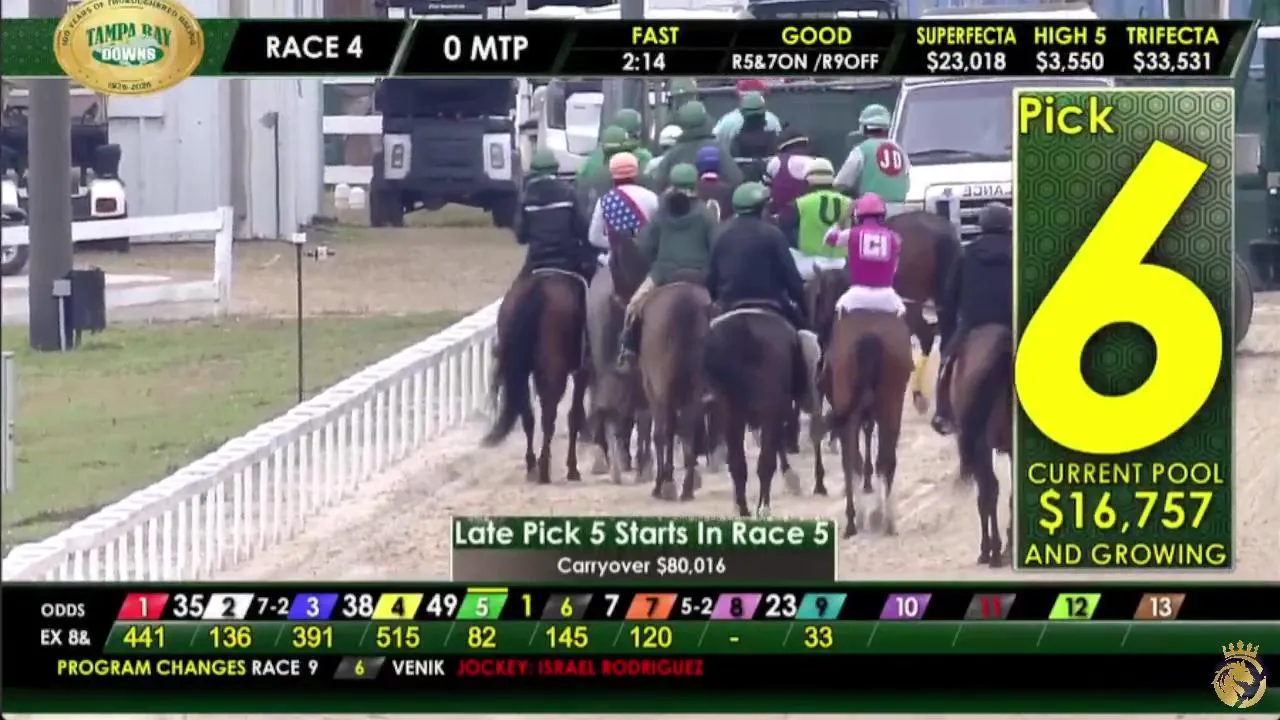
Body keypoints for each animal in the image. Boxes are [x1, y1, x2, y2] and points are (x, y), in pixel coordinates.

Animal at [483, 270, 590, 485]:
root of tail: (538, 289)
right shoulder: (583, 370)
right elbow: (574, 415)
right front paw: (572, 468)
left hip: (520, 371)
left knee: (528, 416)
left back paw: (532, 466)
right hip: (554, 369)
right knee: (548, 415)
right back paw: (544, 469)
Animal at [607, 230, 712, 502]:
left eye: (611, 263)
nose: (616, 297)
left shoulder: (651, 386)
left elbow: (659, 431)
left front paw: (663, 480)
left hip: (662, 385)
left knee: (668, 429)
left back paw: (665, 485)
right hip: (695, 387)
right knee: (690, 426)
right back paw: (686, 487)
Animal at [823, 308, 914, 538]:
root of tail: (870, 337)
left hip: (857, 411)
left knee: (853, 461)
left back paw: (856, 521)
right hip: (891, 405)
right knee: (886, 460)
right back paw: (886, 521)